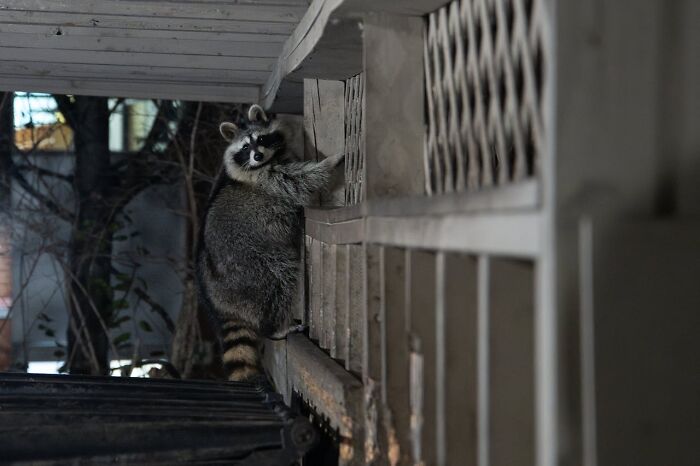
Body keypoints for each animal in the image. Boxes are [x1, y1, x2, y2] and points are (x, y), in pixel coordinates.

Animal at [197, 104, 343, 382]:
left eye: (262, 140)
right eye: (245, 147)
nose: (257, 155)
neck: (268, 161)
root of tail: (220, 302)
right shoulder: (269, 179)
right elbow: (301, 181)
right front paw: (330, 162)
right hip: (252, 267)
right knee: (279, 280)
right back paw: (275, 327)